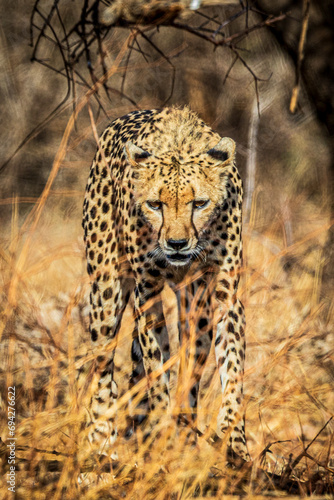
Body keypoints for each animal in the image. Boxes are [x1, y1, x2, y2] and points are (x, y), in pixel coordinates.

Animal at [82, 107, 249, 462]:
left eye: (199, 203)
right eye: (155, 204)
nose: (176, 244)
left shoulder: (224, 293)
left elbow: (229, 366)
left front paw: (233, 438)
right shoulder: (146, 290)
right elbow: (156, 363)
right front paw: (161, 426)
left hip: (191, 301)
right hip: (107, 289)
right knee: (103, 361)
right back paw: (103, 438)